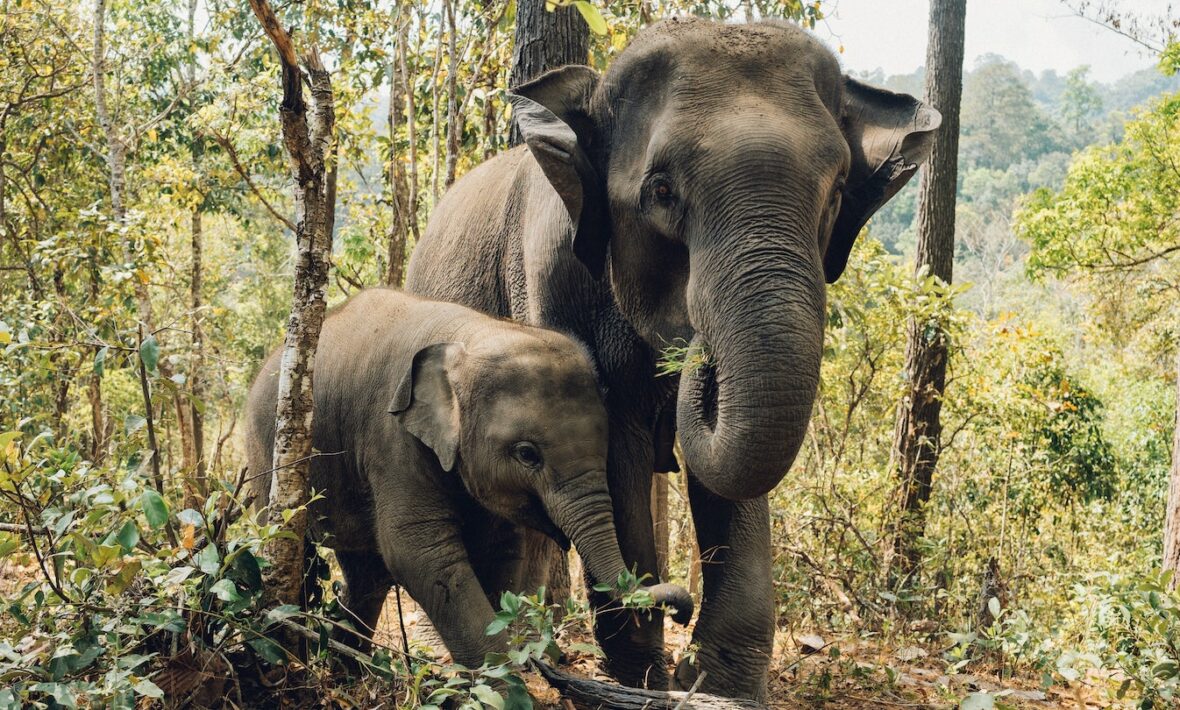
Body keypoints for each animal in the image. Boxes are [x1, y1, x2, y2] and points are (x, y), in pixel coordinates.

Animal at [248, 287, 689, 665]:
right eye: (527, 454)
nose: (682, 610)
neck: (471, 335)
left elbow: (503, 549)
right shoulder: (392, 437)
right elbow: (418, 550)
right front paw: (506, 681)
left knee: (366, 574)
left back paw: (347, 668)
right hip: (265, 456)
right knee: (296, 550)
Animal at [405, 17, 939, 702]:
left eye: (838, 193)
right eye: (660, 191)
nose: (697, 350)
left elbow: (729, 473)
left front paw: (719, 685)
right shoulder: (552, 281)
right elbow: (617, 447)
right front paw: (646, 677)